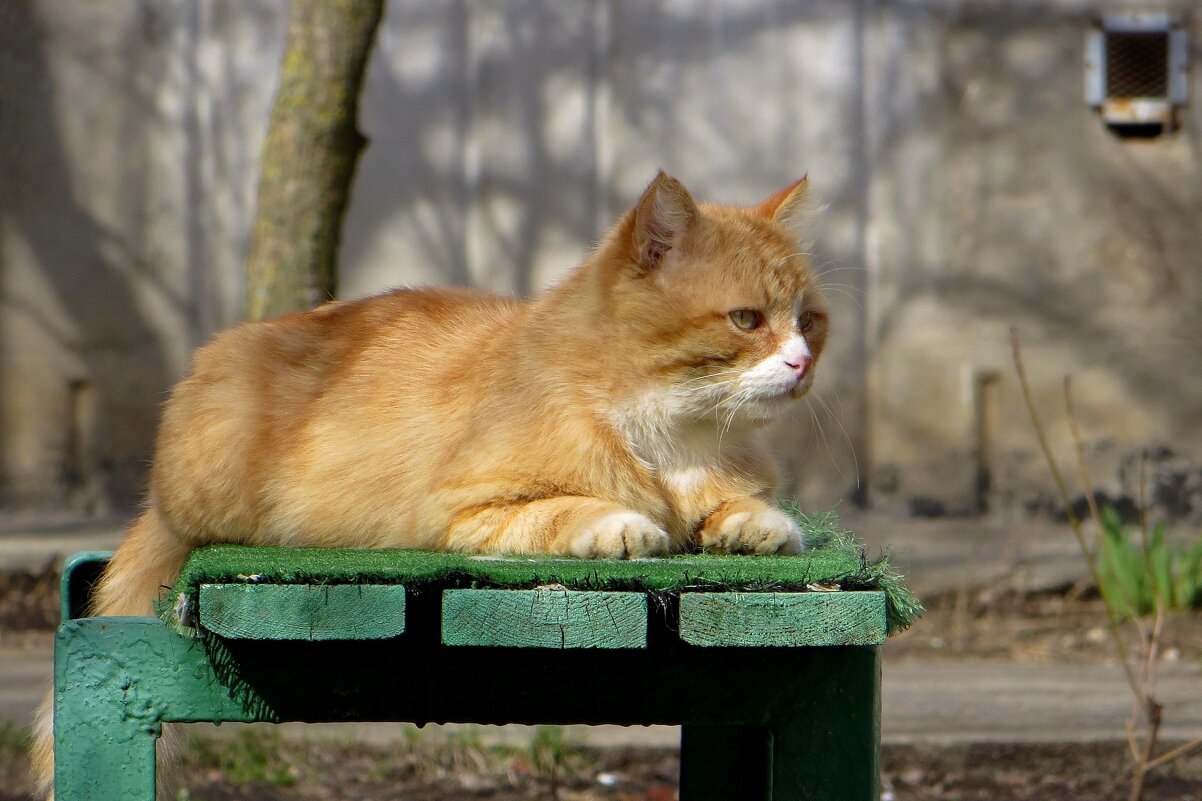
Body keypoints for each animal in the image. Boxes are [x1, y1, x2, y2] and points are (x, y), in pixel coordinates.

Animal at [35, 169, 826, 793]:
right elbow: (571, 509)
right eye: (746, 319)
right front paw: (627, 525)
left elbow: (745, 508)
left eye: (810, 320)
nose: (802, 364)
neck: (675, 440)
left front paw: (755, 525)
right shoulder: (466, 511)